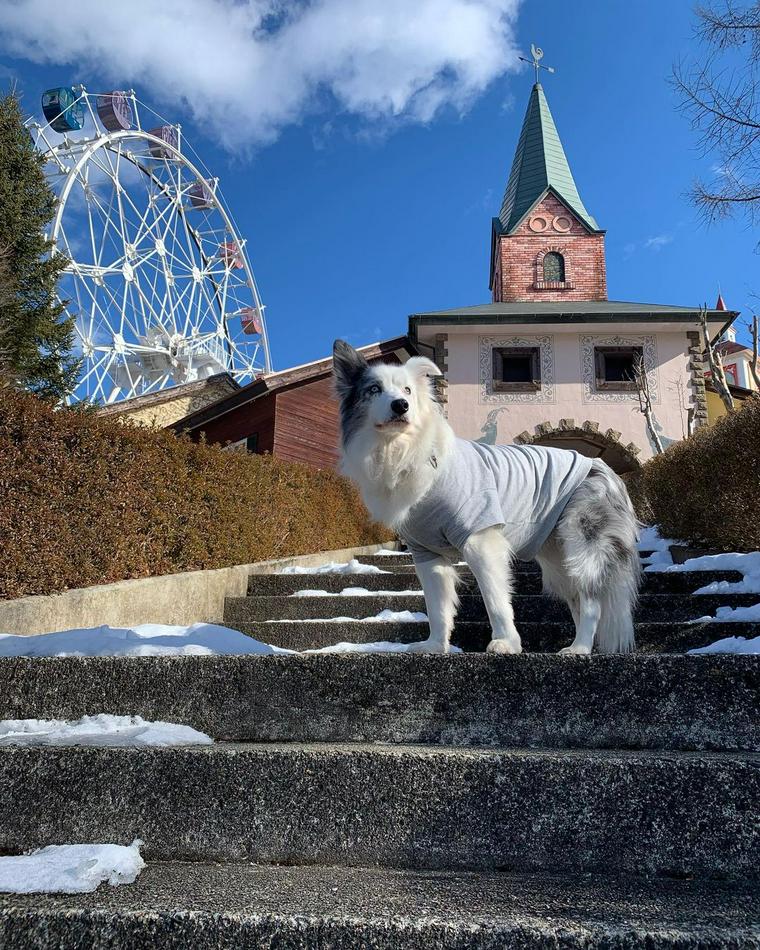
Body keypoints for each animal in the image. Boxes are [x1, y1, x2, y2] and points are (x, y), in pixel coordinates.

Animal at [332, 338, 640, 660]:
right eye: (374, 389)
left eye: (407, 391)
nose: (401, 406)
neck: (402, 451)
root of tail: (605, 470)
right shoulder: (426, 553)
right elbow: (436, 607)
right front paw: (435, 646)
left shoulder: (480, 539)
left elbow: (495, 600)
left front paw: (506, 643)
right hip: (557, 558)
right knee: (578, 600)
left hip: (582, 545)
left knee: (592, 603)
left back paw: (579, 648)